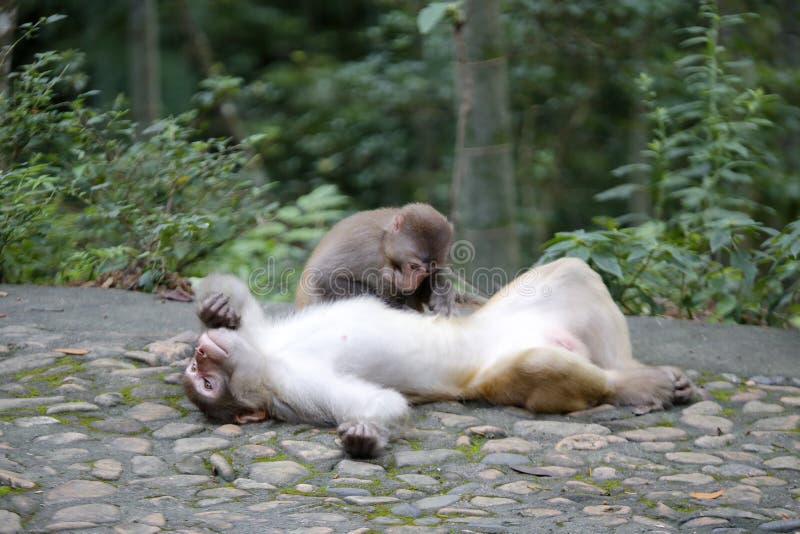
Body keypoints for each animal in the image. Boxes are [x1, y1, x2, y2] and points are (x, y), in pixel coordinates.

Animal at [183, 260, 692, 460]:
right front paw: (365, 437)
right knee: (537, 367)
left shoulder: (262, 341)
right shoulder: (290, 383)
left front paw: (218, 309)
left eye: (199, 370)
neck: (271, 356)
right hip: (496, 375)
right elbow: (379, 403)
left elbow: (246, 309)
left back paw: (641, 373)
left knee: (572, 269)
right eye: (205, 384)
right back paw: (631, 387)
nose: (202, 353)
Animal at [294, 203, 456, 316]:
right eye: (413, 266)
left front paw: (443, 294)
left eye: (427, 271)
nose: (411, 282)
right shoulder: (365, 244)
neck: (384, 240)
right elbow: (323, 277)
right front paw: (394, 307)